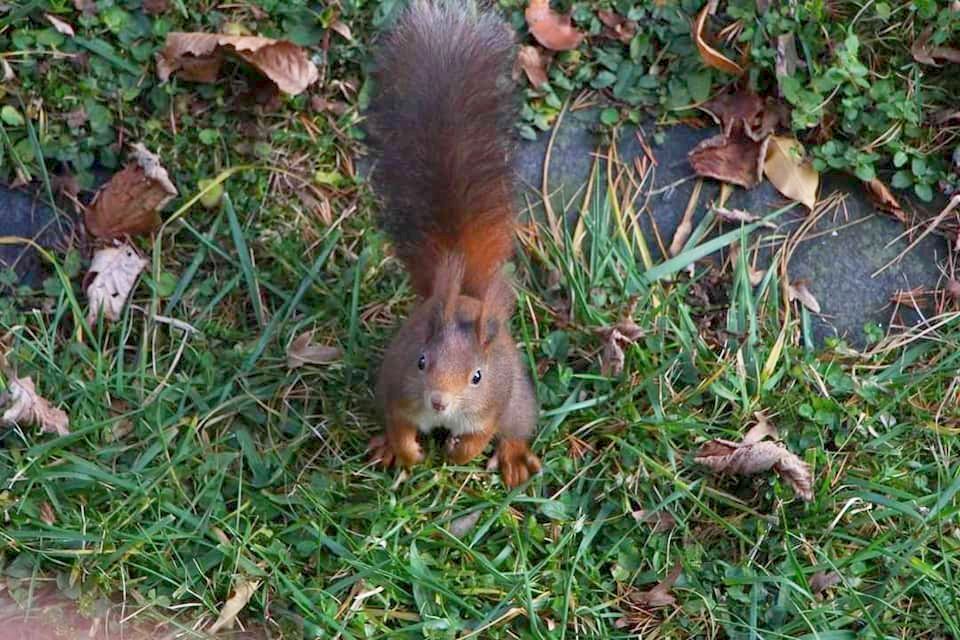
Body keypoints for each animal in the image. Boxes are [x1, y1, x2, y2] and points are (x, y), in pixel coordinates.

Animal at [365, 0, 542, 487]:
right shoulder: (398, 387)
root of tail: (466, 295)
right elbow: (398, 422)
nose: (439, 403)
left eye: (477, 377)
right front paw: (407, 452)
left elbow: (481, 435)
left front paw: (458, 453)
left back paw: (514, 458)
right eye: (422, 362)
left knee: (515, 426)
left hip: (519, 400)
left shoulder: (492, 403)